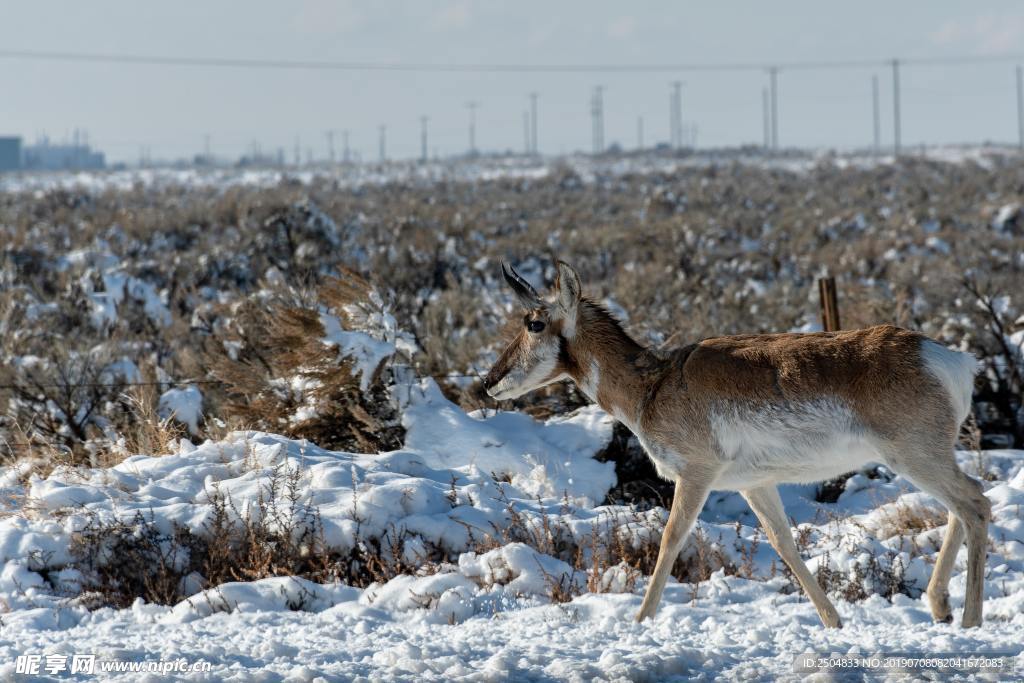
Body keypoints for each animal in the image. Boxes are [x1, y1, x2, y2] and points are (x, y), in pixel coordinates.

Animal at [482, 261, 990, 628]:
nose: (488, 381)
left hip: (914, 456)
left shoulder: (696, 475)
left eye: (534, 323)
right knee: (961, 506)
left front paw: (639, 621)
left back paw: (968, 620)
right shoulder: (755, 485)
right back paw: (940, 606)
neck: (654, 385)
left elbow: (671, 538)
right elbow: (785, 545)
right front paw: (834, 623)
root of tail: (950, 358)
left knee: (975, 503)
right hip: (925, 457)